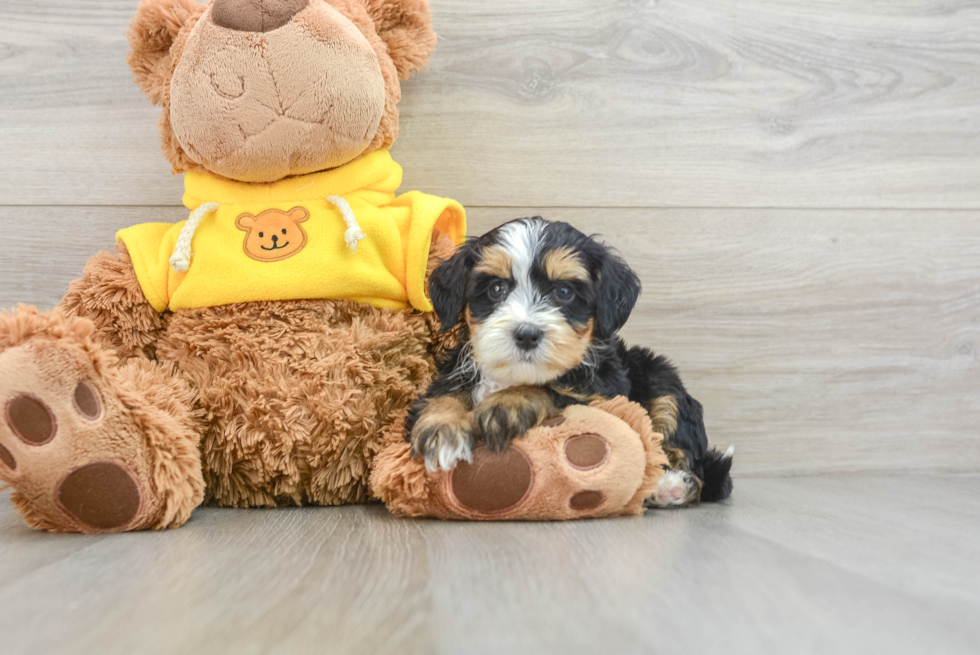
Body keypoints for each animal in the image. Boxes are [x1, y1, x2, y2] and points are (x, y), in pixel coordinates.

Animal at [408, 218, 736, 510]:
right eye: (496, 289)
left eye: (564, 292)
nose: (526, 334)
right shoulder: (452, 374)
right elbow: (445, 396)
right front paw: (441, 431)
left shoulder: (605, 396)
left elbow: (552, 391)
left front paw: (508, 404)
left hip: (661, 378)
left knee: (695, 464)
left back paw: (669, 486)